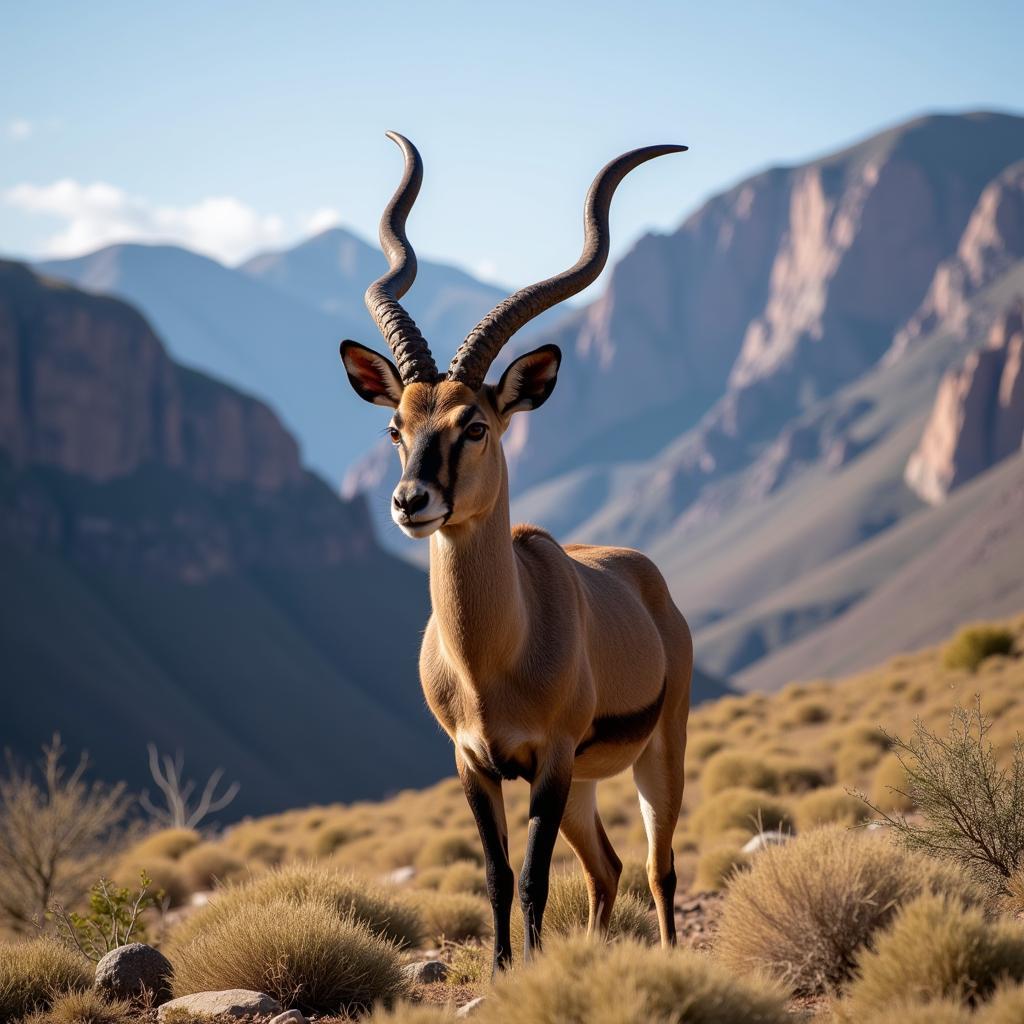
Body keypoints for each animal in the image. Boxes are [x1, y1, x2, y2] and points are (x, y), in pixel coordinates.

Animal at [339, 132, 692, 970]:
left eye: (474, 425)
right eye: (396, 426)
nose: (411, 502)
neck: (492, 659)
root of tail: (649, 583)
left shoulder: (550, 760)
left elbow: (532, 879)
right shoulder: (474, 763)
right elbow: (498, 877)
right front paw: (505, 969)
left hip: (658, 753)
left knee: (658, 868)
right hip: (587, 786)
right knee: (607, 869)